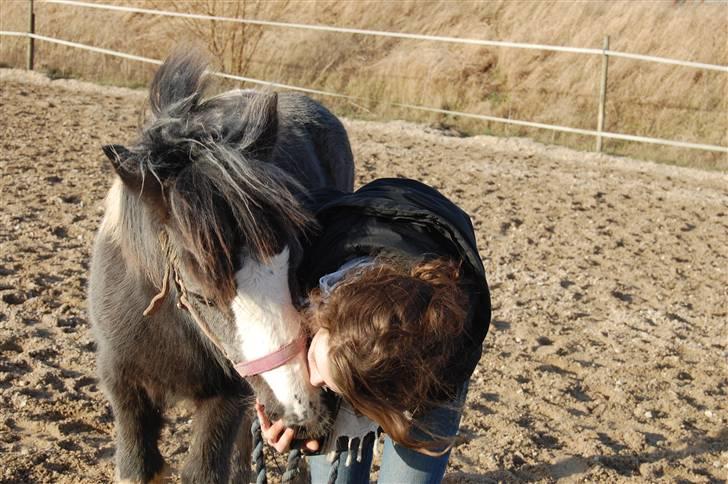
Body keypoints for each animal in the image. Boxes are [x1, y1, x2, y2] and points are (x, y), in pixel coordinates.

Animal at [86, 51, 354, 482]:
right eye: (201, 294)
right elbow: (137, 466)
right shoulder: (125, 388)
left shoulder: (227, 395)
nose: (305, 413)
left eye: (293, 266)